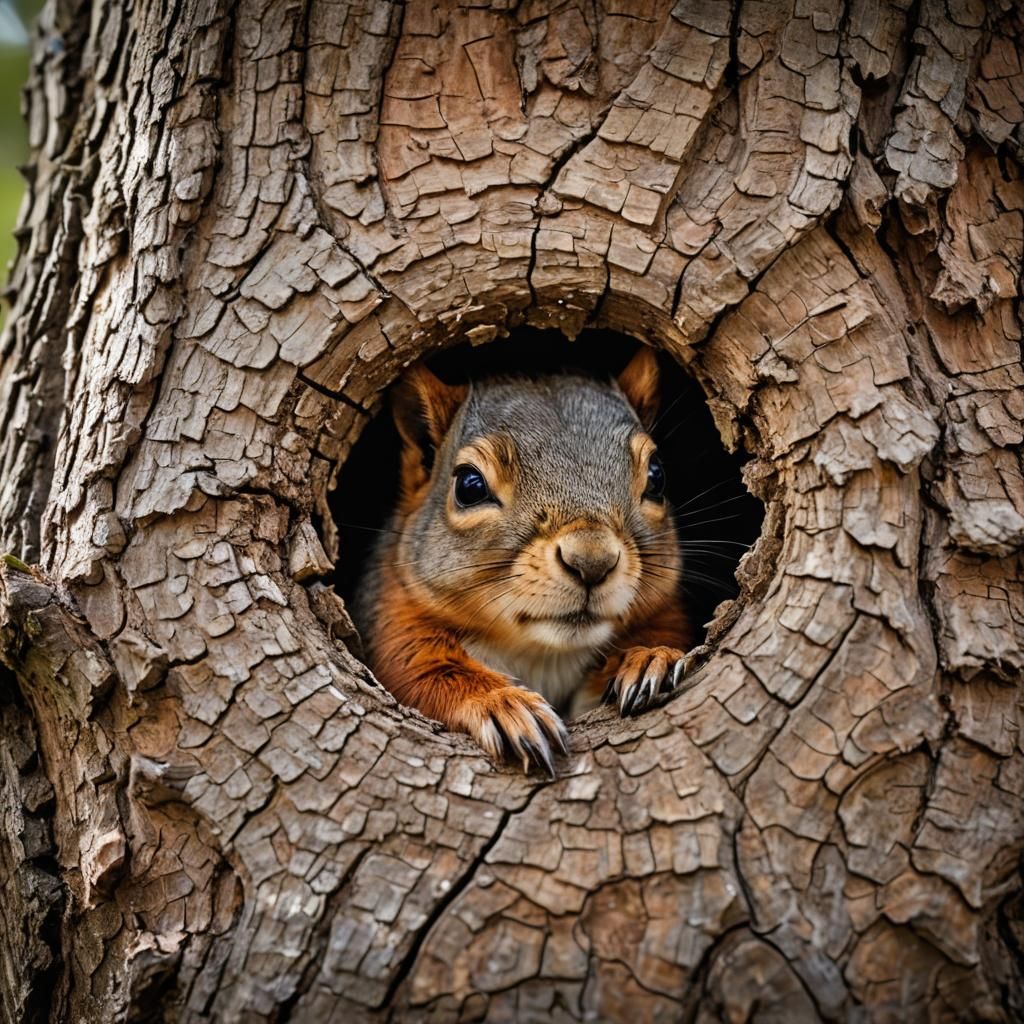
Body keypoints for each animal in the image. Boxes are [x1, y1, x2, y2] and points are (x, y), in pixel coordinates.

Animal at [354, 346, 690, 775]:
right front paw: (504, 706)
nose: (591, 561)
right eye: (469, 486)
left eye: (658, 476)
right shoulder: (392, 623)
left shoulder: (667, 614)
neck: (541, 654)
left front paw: (650, 659)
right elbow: (421, 672)